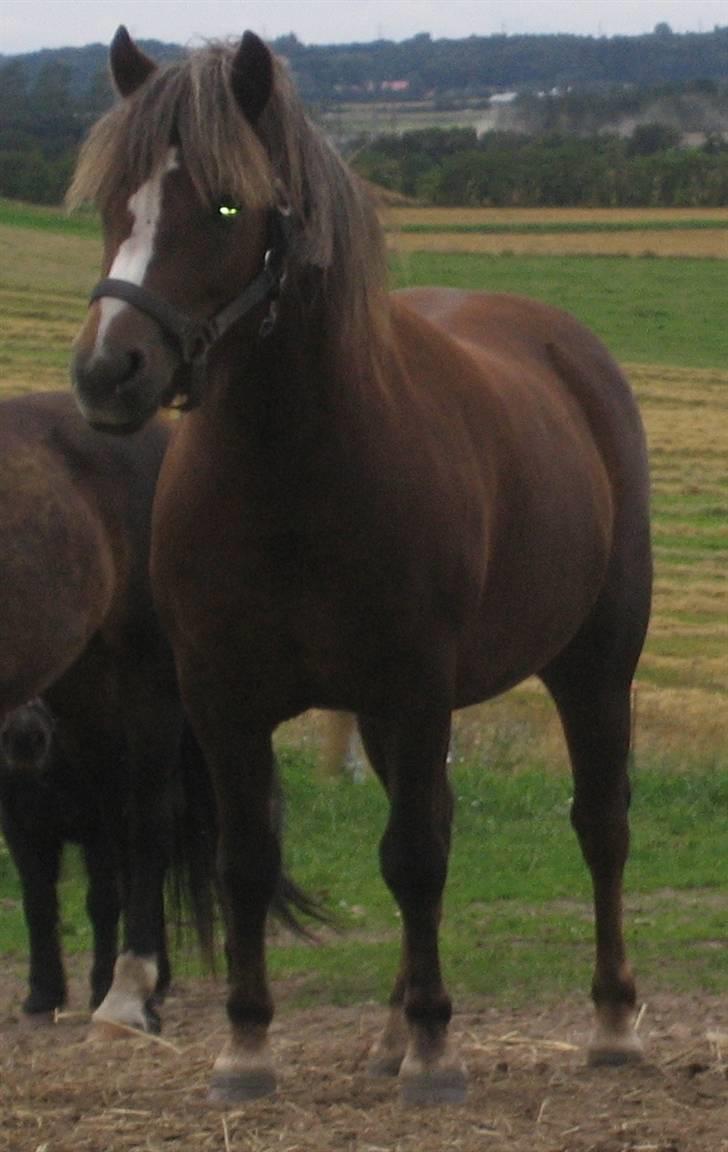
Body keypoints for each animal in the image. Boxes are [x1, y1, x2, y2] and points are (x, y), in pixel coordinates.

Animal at [71, 29, 649, 1105]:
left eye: (225, 205)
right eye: (112, 199)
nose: (106, 372)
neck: (290, 475)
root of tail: (569, 351)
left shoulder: (415, 688)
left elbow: (414, 859)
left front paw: (434, 1052)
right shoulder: (224, 699)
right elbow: (249, 862)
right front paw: (247, 1047)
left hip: (592, 667)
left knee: (598, 826)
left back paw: (607, 1022)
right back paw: (390, 1028)